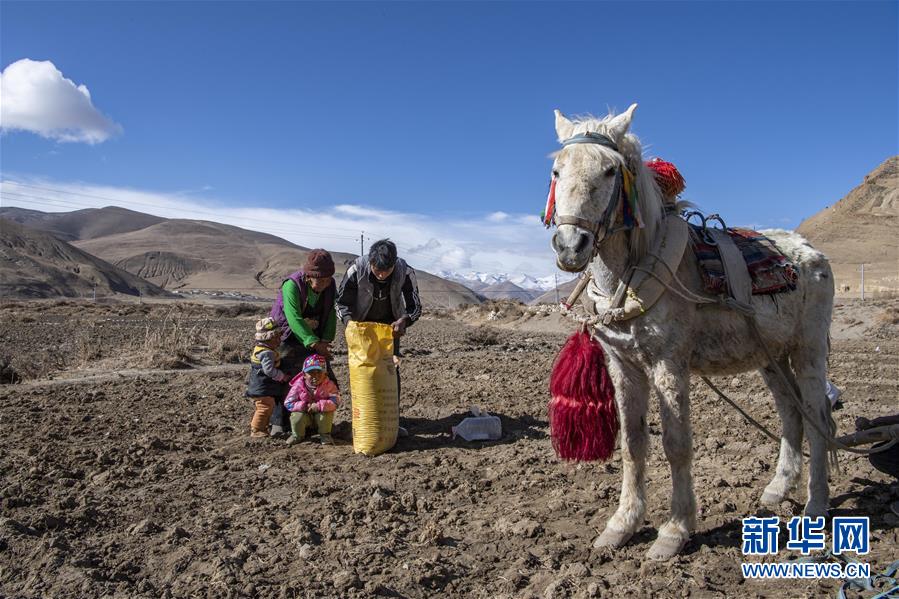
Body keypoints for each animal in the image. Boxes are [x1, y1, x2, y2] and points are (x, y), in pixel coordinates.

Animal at [548, 104, 836, 564]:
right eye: (557, 171)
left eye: (610, 170)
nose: (570, 245)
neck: (634, 271)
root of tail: (812, 253)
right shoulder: (623, 365)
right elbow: (632, 443)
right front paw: (622, 525)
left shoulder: (670, 364)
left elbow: (676, 444)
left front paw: (675, 530)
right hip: (771, 358)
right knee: (791, 413)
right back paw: (777, 490)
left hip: (808, 351)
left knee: (816, 418)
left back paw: (816, 506)